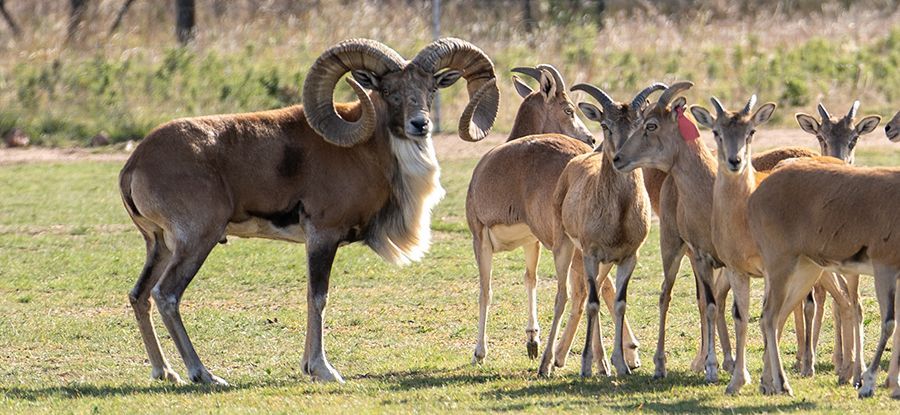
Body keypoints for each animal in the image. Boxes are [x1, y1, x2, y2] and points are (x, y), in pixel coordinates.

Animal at [118, 38, 500, 385]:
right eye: (388, 90)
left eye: (430, 88)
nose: (420, 124)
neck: (364, 153)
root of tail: (135, 164)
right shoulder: (322, 237)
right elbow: (318, 297)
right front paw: (323, 370)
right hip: (196, 242)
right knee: (166, 295)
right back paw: (203, 374)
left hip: (160, 246)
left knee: (140, 296)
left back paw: (165, 372)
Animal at [466, 63, 595, 364]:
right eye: (568, 109)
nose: (592, 138)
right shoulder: (530, 242)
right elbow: (530, 279)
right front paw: (532, 341)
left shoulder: (480, 239)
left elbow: (485, 290)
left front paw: (479, 352)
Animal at [552, 83, 659, 377]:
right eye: (605, 125)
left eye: (639, 124)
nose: (621, 156)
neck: (619, 214)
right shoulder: (590, 254)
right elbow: (592, 303)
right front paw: (585, 365)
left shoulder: (628, 257)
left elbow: (619, 302)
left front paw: (621, 365)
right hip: (567, 247)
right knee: (574, 294)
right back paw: (551, 362)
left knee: (598, 290)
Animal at [749, 159, 900, 399]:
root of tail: (759, 192)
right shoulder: (884, 268)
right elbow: (889, 324)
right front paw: (867, 384)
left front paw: (895, 386)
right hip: (781, 266)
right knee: (770, 316)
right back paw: (783, 384)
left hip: (806, 271)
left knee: (776, 316)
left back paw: (767, 383)